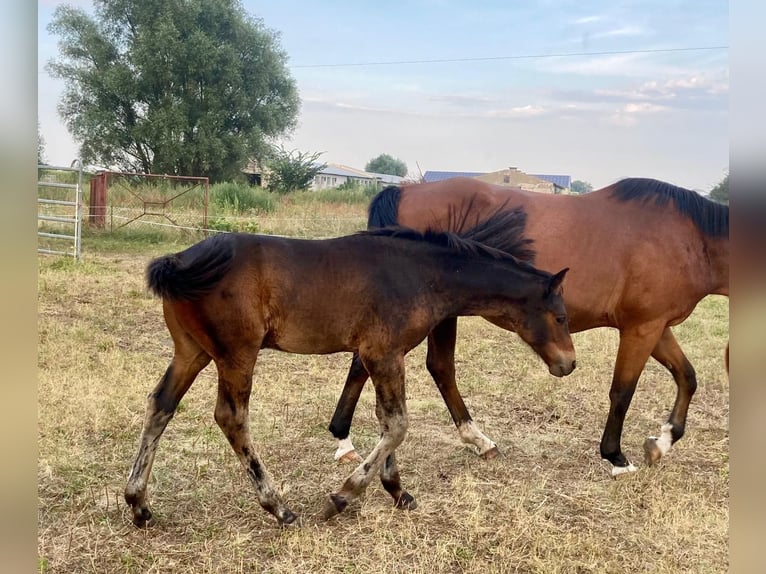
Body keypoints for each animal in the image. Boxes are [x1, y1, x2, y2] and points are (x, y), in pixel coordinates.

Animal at [124, 209, 576, 527]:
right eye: (560, 316)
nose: (569, 363)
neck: (420, 274)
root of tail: (181, 260)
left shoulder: (384, 355)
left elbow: (385, 419)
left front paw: (397, 491)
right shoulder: (382, 353)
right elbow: (397, 424)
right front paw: (343, 496)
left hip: (193, 352)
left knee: (160, 405)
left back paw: (138, 504)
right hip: (236, 354)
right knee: (231, 417)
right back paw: (278, 506)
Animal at [328, 177, 729, 477]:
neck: (689, 238)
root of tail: (406, 190)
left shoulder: (657, 327)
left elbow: (687, 377)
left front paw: (662, 443)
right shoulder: (641, 328)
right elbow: (622, 392)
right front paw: (616, 457)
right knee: (425, 366)